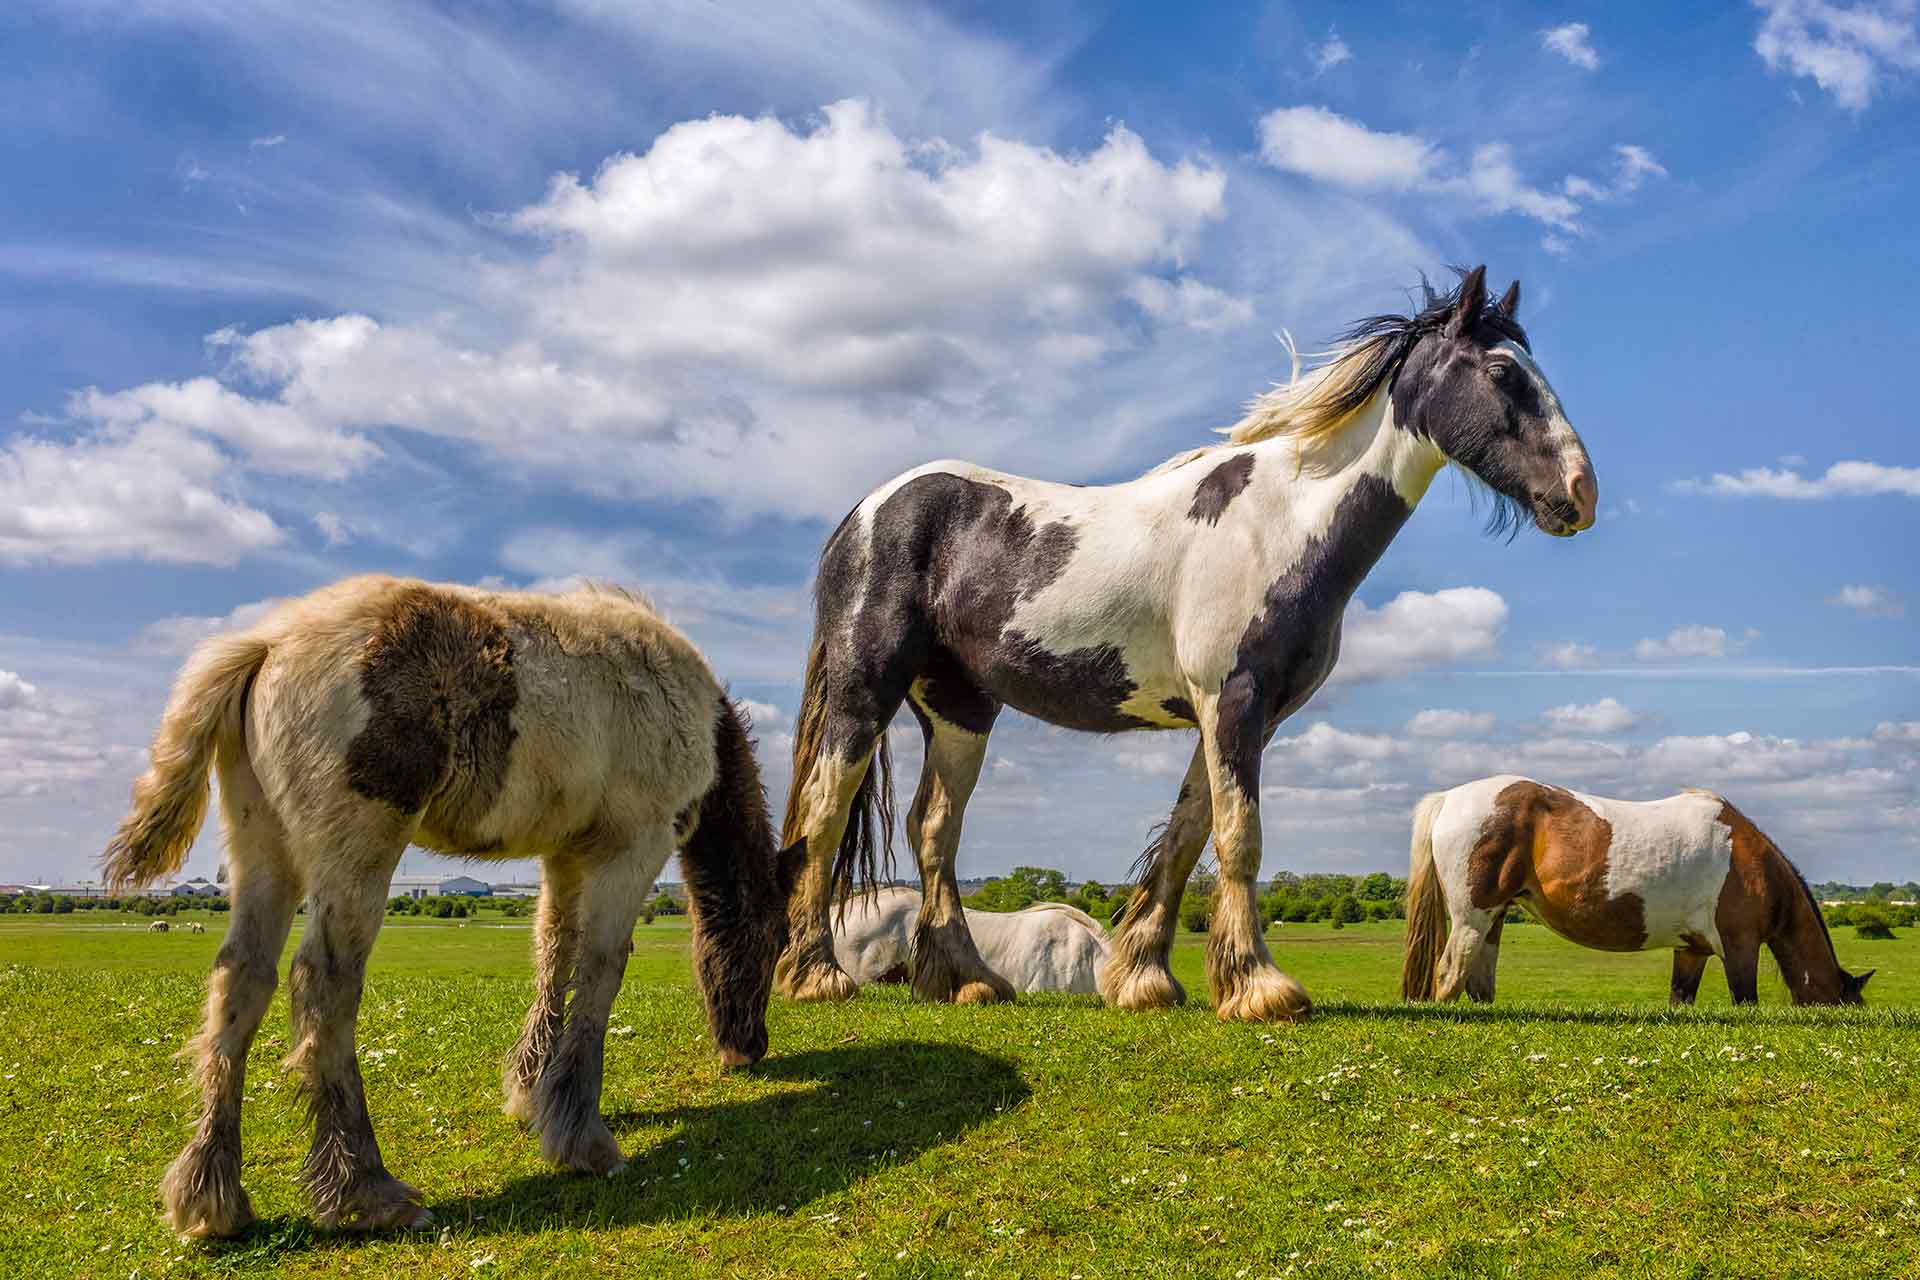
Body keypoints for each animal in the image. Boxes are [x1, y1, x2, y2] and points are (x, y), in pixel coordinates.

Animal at [102, 575, 802, 1238]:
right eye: (771, 942)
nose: (749, 1049)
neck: (693, 710)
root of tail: (265, 642)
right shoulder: (631, 846)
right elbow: (601, 970)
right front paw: (582, 1138)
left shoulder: (566, 853)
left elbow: (555, 951)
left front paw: (530, 1091)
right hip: (359, 848)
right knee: (323, 984)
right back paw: (367, 1194)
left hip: (262, 844)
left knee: (241, 978)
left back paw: (212, 1197)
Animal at [1401, 775, 1873, 1006]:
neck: (1752, 862)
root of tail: (1449, 799)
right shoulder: (1740, 947)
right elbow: (1746, 1001)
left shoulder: (1692, 951)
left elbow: (1680, 999)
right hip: (1472, 918)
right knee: (1449, 976)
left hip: (1494, 918)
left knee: (1478, 984)